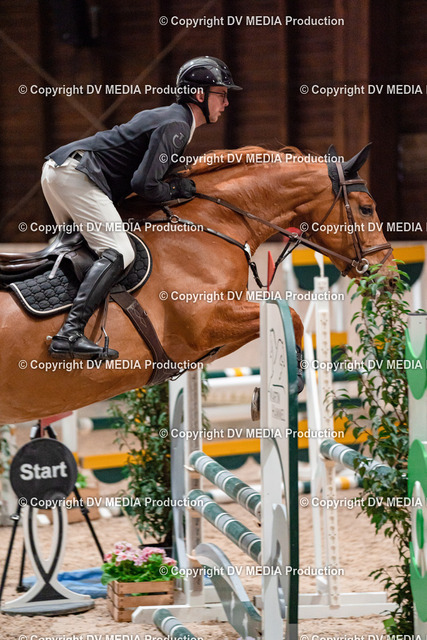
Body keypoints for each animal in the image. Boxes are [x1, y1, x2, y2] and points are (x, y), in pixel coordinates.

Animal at [0, 144, 394, 423]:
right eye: (366, 208)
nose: (389, 276)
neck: (212, 222)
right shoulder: (207, 324)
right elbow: (293, 318)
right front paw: (285, 386)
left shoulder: (213, 337)